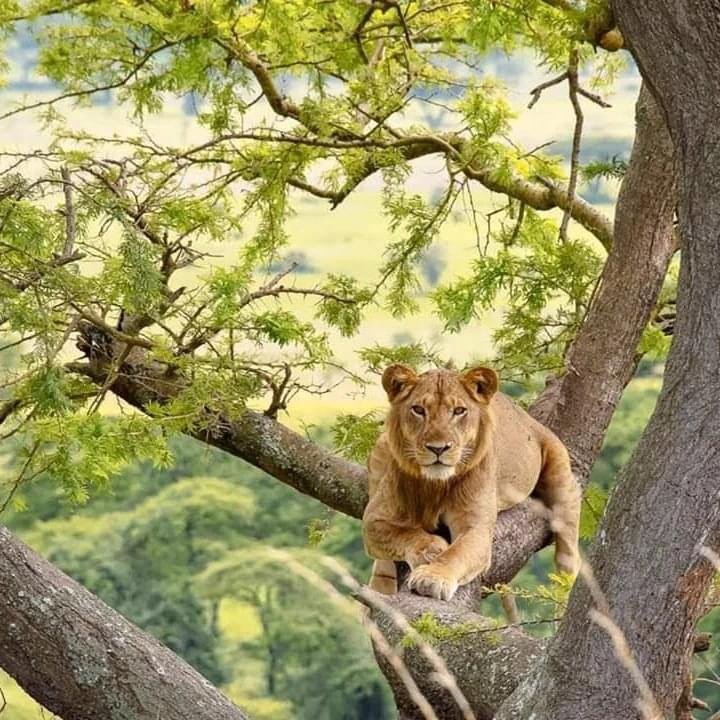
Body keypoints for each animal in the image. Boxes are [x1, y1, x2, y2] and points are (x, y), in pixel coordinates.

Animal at [363, 364, 580, 601]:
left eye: (459, 411)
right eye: (418, 410)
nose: (438, 448)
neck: (435, 485)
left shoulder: (476, 528)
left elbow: (457, 553)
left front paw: (433, 577)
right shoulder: (374, 519)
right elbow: (404, 534)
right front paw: (432, 548)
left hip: (560, 474)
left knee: (569, 550)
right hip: (382, 447)